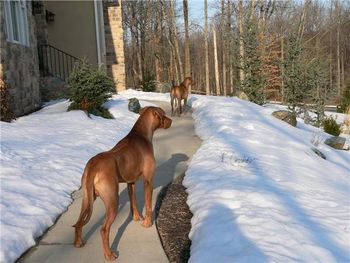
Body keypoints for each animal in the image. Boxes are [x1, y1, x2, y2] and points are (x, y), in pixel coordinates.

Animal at [73, 106, 172, 262]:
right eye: (164, 114)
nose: (171, 121)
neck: (141, 134)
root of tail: (94, 165)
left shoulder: (131, 182)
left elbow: (134, 201)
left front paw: (137, 217)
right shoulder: (148, 180)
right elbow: (148, 205)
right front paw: (147, 223)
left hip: (87, 198)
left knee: (78, 222)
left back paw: (78, 242)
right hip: (112, 200)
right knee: (104, 230)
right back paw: (109, 255)